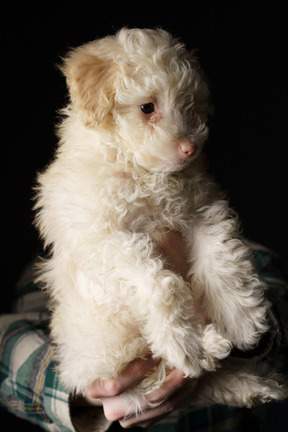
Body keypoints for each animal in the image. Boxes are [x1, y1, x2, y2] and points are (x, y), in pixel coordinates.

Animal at [35, 27, 286, 412]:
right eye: (147, 107)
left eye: (190, 106)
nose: (190, 149)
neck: (143, 172)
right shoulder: (104, 237)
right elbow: (158, 281)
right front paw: (182, 341)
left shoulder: (202, 208)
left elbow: (222, 256)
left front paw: (240, 317)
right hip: (113, 353)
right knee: (169, 373)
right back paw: (206, 348)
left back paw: (253, 381)